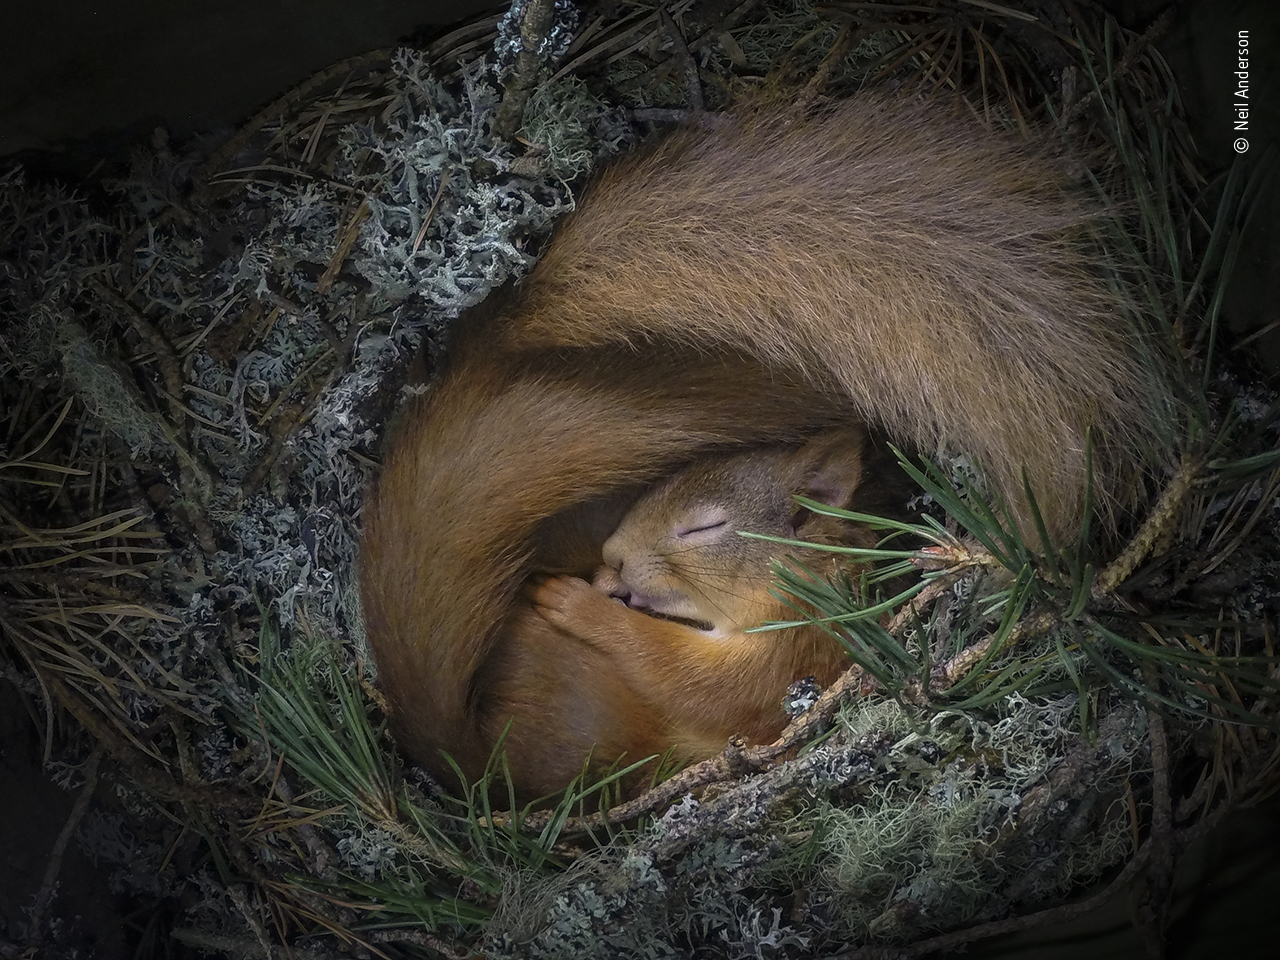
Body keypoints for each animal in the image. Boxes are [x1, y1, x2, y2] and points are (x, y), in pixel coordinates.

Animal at [360, 96, 1177, 803]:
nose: (614, 557)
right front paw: (600, 585)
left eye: (707, 527)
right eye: (658, 486)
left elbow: (695, 681)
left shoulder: (793, 652)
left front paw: (582, 602)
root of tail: (469, 764)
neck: (810, 576)